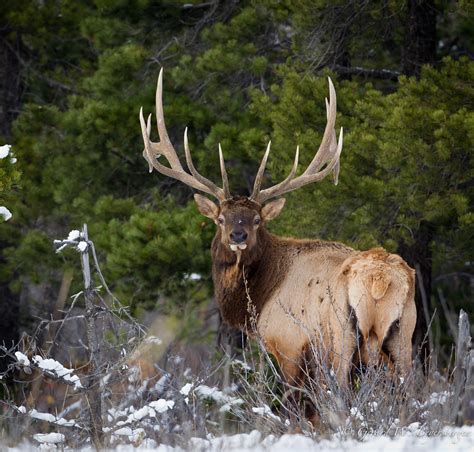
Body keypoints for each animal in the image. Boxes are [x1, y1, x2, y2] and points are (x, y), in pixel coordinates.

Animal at [137, 69, 414, 390]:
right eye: (221, 219)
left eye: (258, 220)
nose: (238, 235)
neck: (261, 297)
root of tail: (380, 280)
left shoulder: (289, 344)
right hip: (404, 338)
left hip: (339, 341)